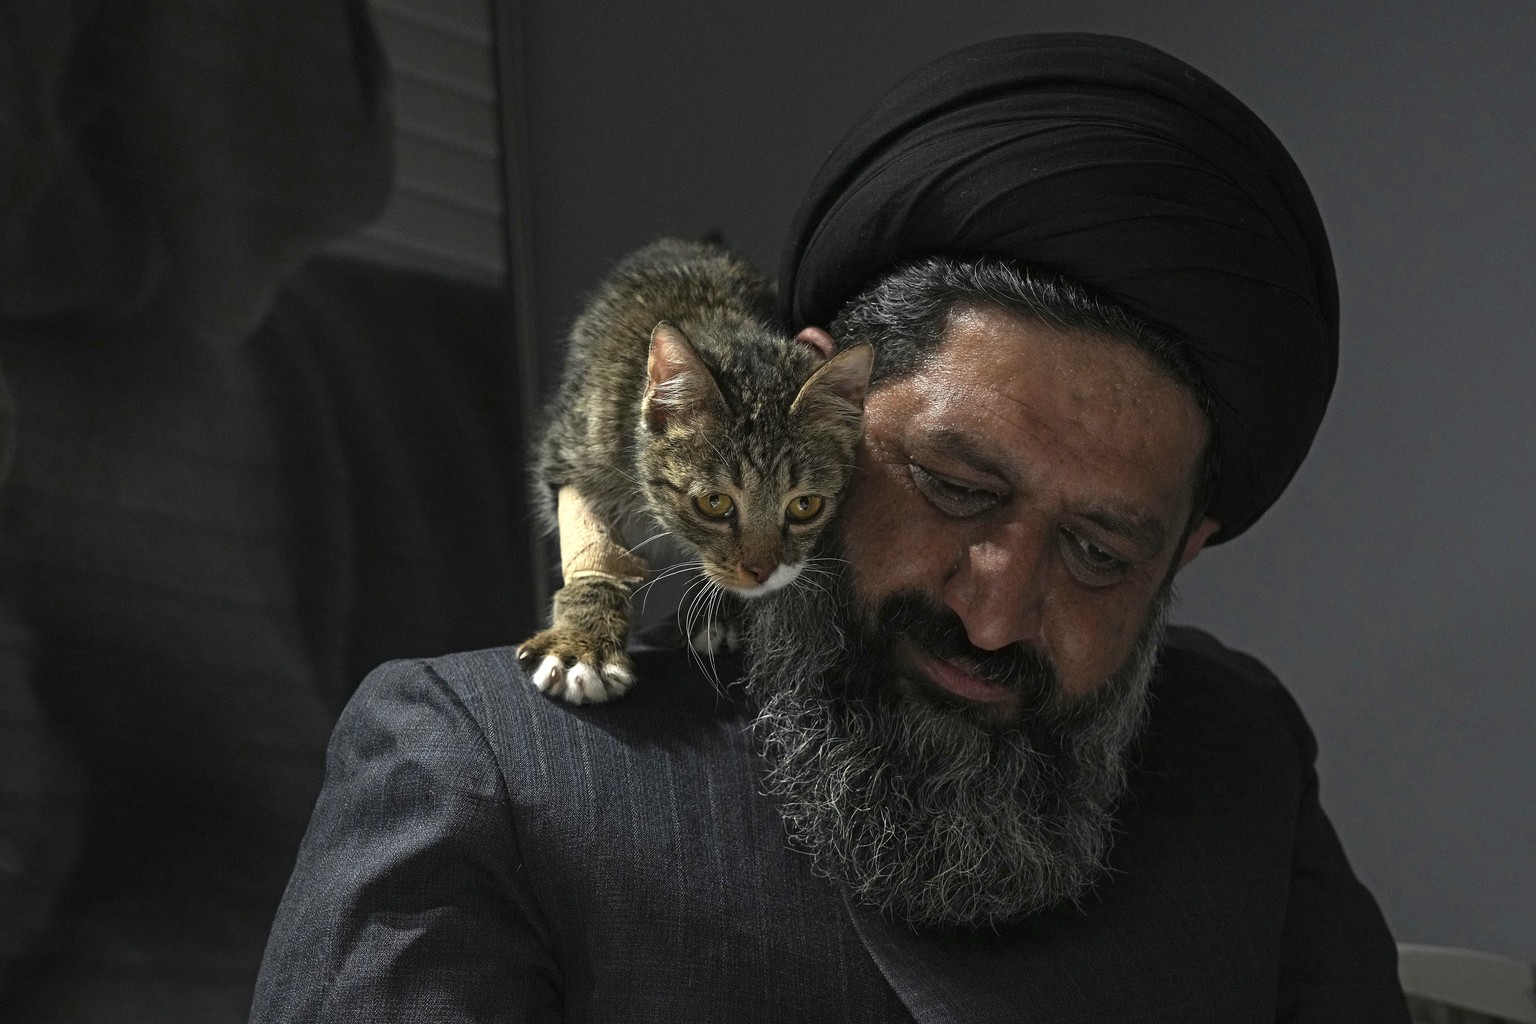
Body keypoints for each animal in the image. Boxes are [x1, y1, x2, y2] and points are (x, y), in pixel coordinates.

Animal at [519, 239, 872, 706]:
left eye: (805, 506)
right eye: (714, 502)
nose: (762, 572)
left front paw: (721, 610)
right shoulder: (570, 458)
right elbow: (595, 549)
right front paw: (584, 642)